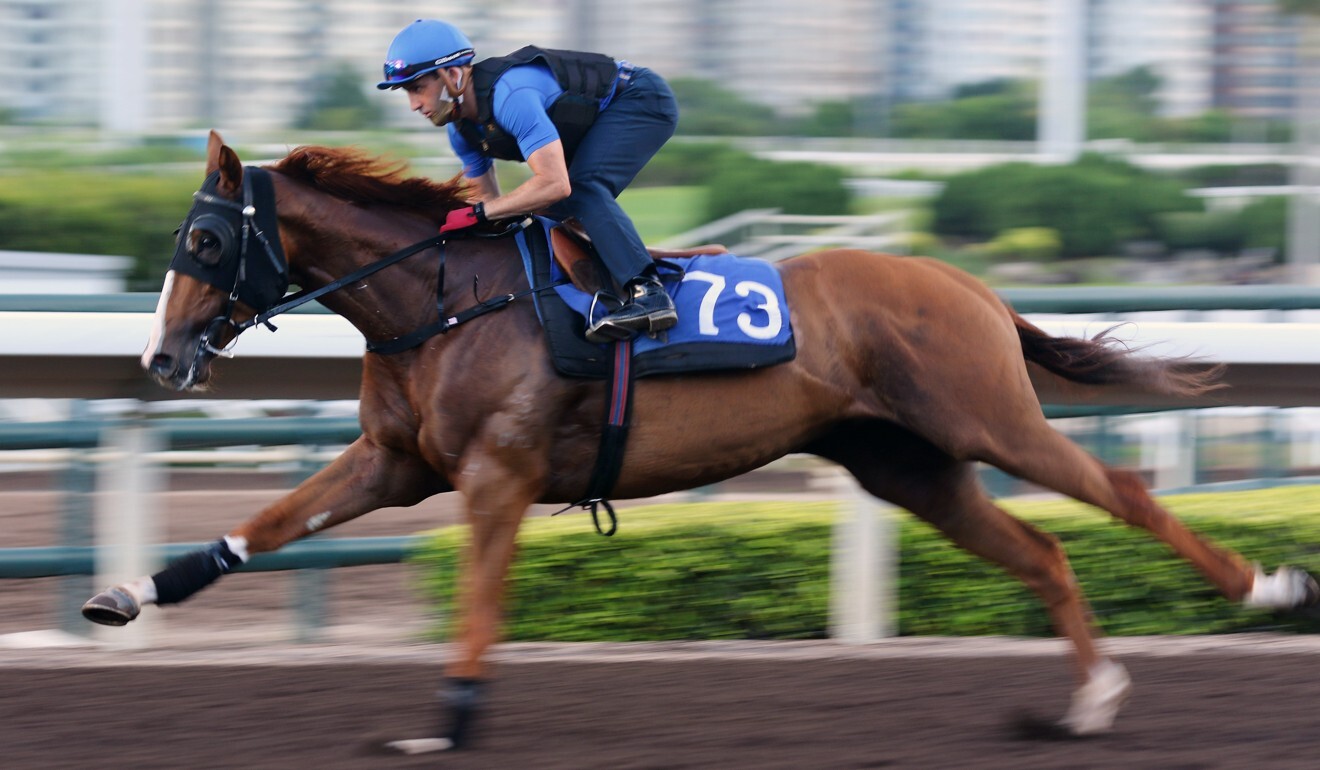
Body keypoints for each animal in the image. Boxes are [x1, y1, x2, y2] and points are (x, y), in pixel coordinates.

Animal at [87, 132, 1314, 755]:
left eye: (206, 239)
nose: (161, 359)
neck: (445, 299)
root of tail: (966, 283)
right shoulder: (398, 462)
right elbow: (263, 525)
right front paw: (125, 595)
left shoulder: (497, 472)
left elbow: (481, 597)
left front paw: (451, 720)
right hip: (907, 465)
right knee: (1045, 551)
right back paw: (1088, 700)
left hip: (985, 418)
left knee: (1121, 493)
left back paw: (1266, 588)